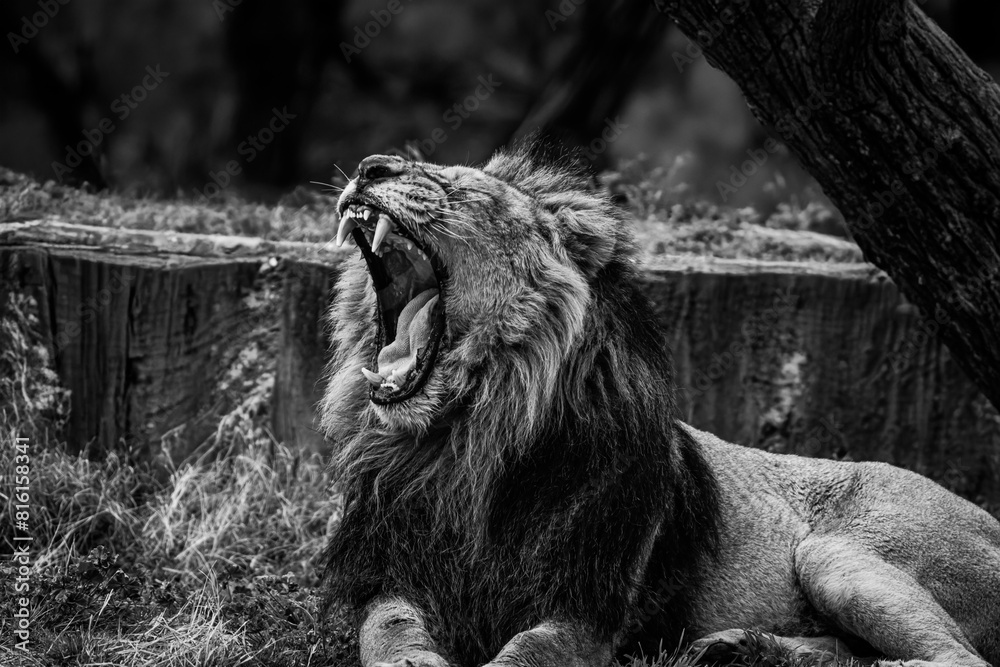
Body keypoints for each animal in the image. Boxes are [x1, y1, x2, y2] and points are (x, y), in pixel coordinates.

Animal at [320, 149, 1000, 667]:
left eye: (461, 186)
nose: (371, 166)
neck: (462, 445)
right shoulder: (388, 574)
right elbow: (390, 634)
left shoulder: (587, 608)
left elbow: (523, 654)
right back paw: (740, 648)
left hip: (833, 552)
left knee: (959, 658)